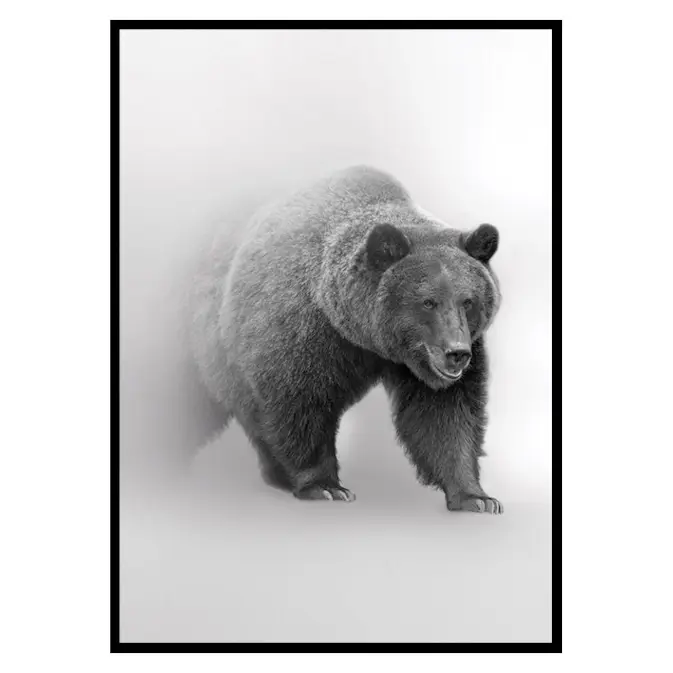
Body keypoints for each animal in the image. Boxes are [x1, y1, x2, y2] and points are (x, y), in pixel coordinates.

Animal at [189, 165, 502, 513]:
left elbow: (445, 413)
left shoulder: (427, 360)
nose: (456, 353)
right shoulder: (299, 332)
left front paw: (476, 497)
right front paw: (325, 486)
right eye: (428, 302)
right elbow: (298, 403)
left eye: (468, 301)